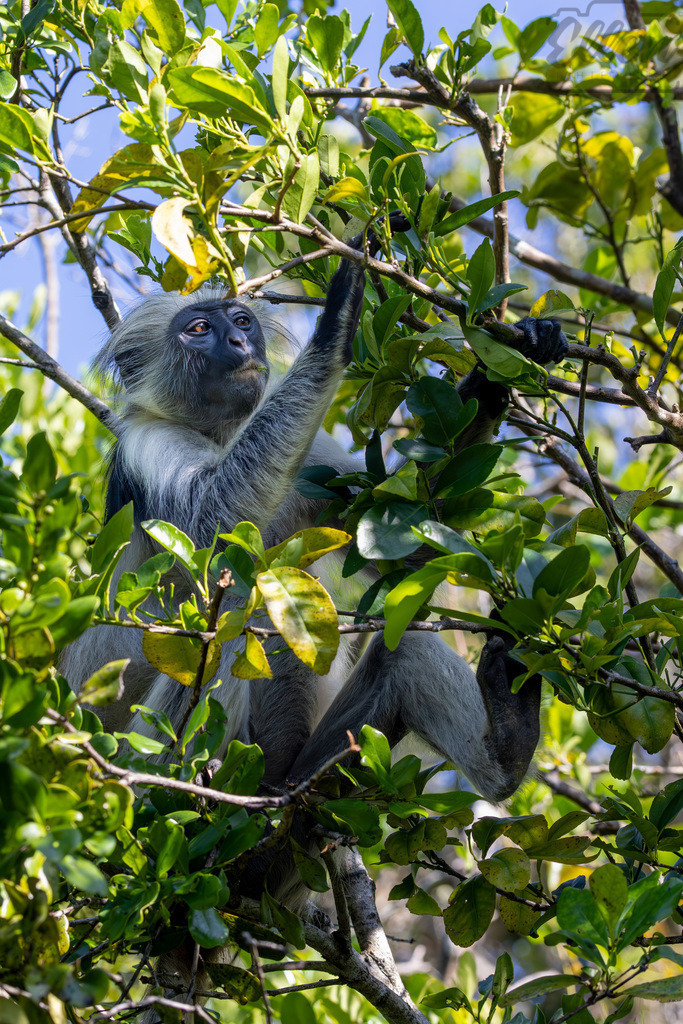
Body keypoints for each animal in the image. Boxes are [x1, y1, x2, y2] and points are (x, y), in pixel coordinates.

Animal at [62, 218, 568, 808]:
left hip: (324, 763)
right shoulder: (147, 442)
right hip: (142, 755)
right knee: (231, 609)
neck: (222, 434)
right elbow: (212, 524)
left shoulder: (312, 458)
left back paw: (509, 744)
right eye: (199, 330)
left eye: (240, 321)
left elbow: (397, 545)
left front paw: (495, 373)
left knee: (403, 649)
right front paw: (340, 310)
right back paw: (192, 790)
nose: (238, 342)